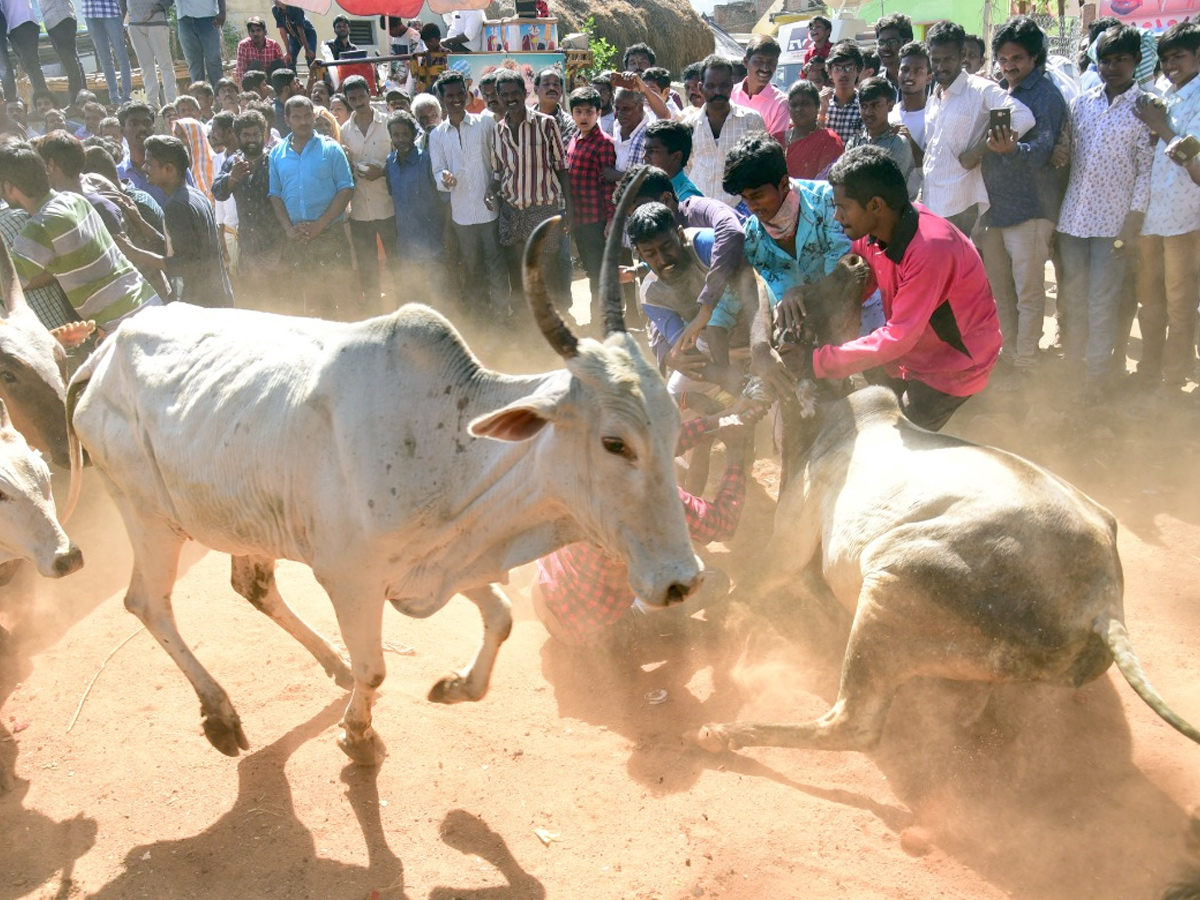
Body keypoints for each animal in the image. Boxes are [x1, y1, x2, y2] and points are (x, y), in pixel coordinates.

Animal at [65, 181, 700, 768]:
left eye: (673, 428)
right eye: (614, 442)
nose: (683, 581)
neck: (452, 450)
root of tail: (104, 354)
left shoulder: (441, 559)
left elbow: (501, 618)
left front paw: (452, 687)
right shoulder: (350, 580)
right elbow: (376, 670)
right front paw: (358, 736)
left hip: (239, 518)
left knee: (253, 586)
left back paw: (330, 662)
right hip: (148, 518)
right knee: (147, 604)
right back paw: (221, 712)